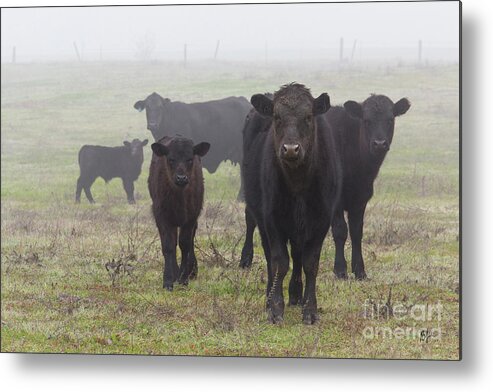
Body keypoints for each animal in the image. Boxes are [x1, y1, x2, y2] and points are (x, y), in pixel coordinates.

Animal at [146, 135, 208, 290]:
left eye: (190, 159)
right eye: (171, 159)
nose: (181, 178)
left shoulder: (191, 217)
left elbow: (185, 244)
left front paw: (184, 278)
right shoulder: (162, 216)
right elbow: (168, 246)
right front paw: (168, 280)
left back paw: (191, 270)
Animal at [240, 83, 340, 324]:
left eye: (308, 116)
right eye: (277, 117)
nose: (291, 149)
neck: (298, 183)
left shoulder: (321, 220)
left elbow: (310, 263)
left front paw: (310, 309)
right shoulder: (272, 220)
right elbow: (279, 262)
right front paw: (276, 308)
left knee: (297, 255)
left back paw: (296, 294)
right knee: (272, 258)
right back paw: (271, 298)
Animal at [324, 94, 410, 280]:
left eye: (390, 119)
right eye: (366, 120)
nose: (379, 143)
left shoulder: (361, 198)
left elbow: (357, 232)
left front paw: (360, 271)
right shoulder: (336, 200)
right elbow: (340, 230)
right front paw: (340, 270)